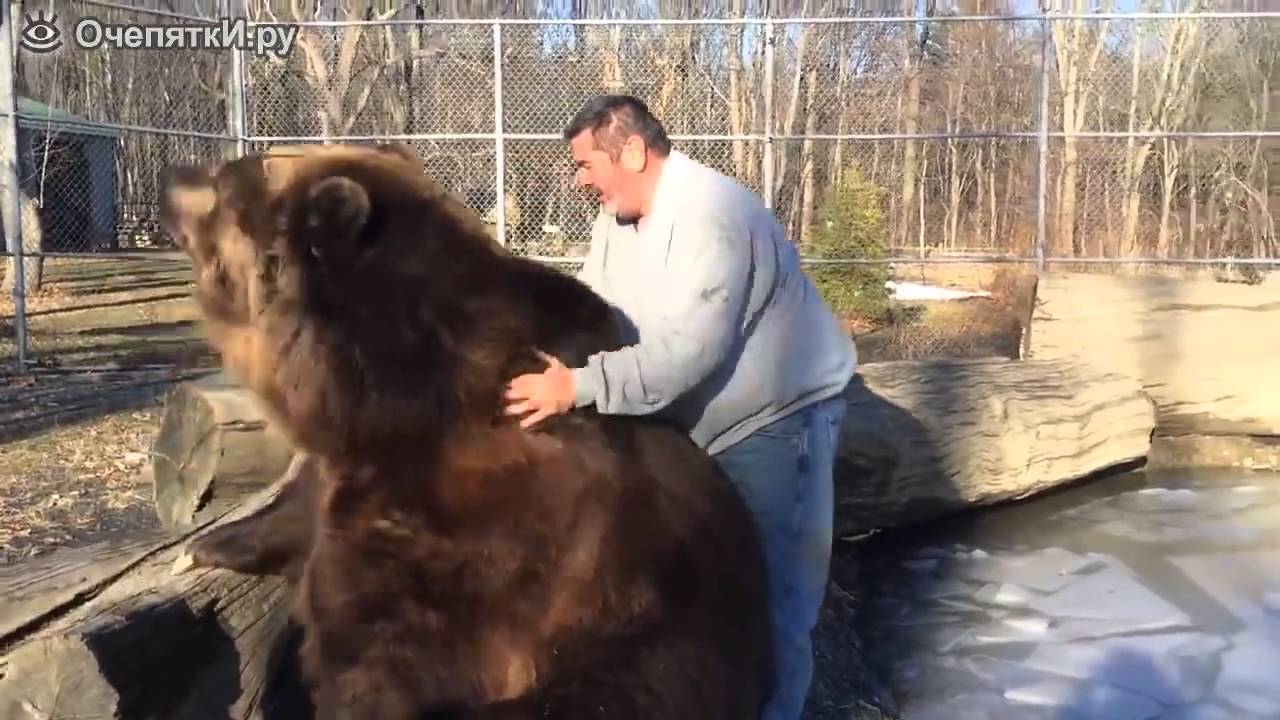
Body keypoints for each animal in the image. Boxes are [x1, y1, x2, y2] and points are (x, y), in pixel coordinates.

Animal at [157, 142, 775, 720]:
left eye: (226, 180)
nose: (171, 177)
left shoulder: (477, 539)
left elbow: (377, 657)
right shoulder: (359, 471)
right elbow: (299, 512)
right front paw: (204, 545)